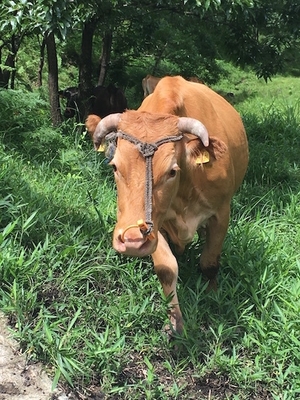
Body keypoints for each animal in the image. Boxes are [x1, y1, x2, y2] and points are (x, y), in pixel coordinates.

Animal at [86, 75, 248, 334]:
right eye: (115, 166)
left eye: (172, 171)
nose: (132, 239)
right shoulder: (156, 227)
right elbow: (166, 269)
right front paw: (175, 323)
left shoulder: (221, 213)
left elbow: (210, 262)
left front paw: (212, 293)